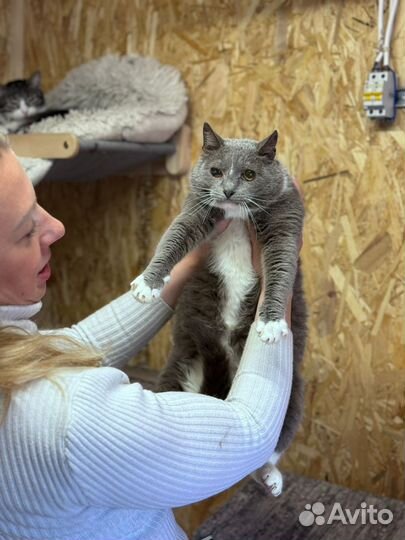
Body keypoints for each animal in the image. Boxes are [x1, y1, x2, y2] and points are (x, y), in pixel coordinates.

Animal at [132, 123, 306, 498]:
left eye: (250, 174)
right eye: (215, 171)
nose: (227, 190)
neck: (237, 219)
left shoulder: (286, 224)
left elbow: (281, 270)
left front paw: (271, 323)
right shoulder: (195, 210)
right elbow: (172, 239)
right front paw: (147, 284)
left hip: (293, 397)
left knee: (262, 456)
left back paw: (270, 478)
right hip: (179, 370)